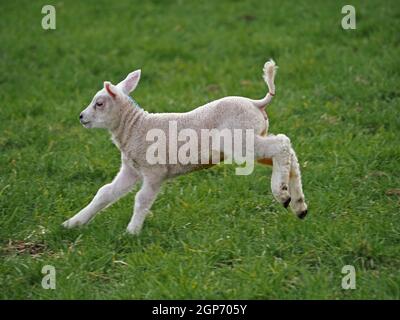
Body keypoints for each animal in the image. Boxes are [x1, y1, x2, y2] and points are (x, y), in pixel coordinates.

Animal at [62, 60, 308, 235]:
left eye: (99, 103)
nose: (81, 117)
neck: (135, 126)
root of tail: (257, 103)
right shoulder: (131, 170)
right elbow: (105, 193)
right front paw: (73, 222)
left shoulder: (155, 171)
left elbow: (142, 199)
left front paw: (131, 231)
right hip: (253, 138)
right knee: (288, 154)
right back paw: (299, 204)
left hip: (241, 141)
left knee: (282, 144)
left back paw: (282, 193)